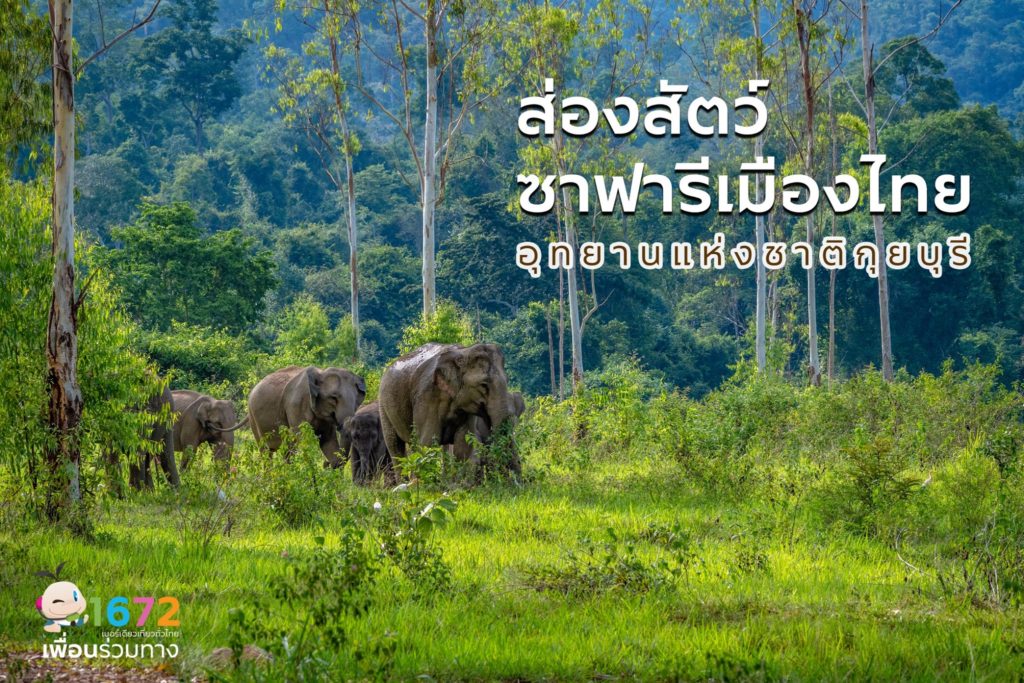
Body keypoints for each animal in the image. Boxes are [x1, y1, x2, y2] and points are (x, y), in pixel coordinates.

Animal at [378, 343, 515, 469]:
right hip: (383, 406)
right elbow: (427, 444)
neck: (464, 352)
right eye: (483, 384)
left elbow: (464, 447)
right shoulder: (428, 396)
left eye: (507, 381)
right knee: (395, 447)